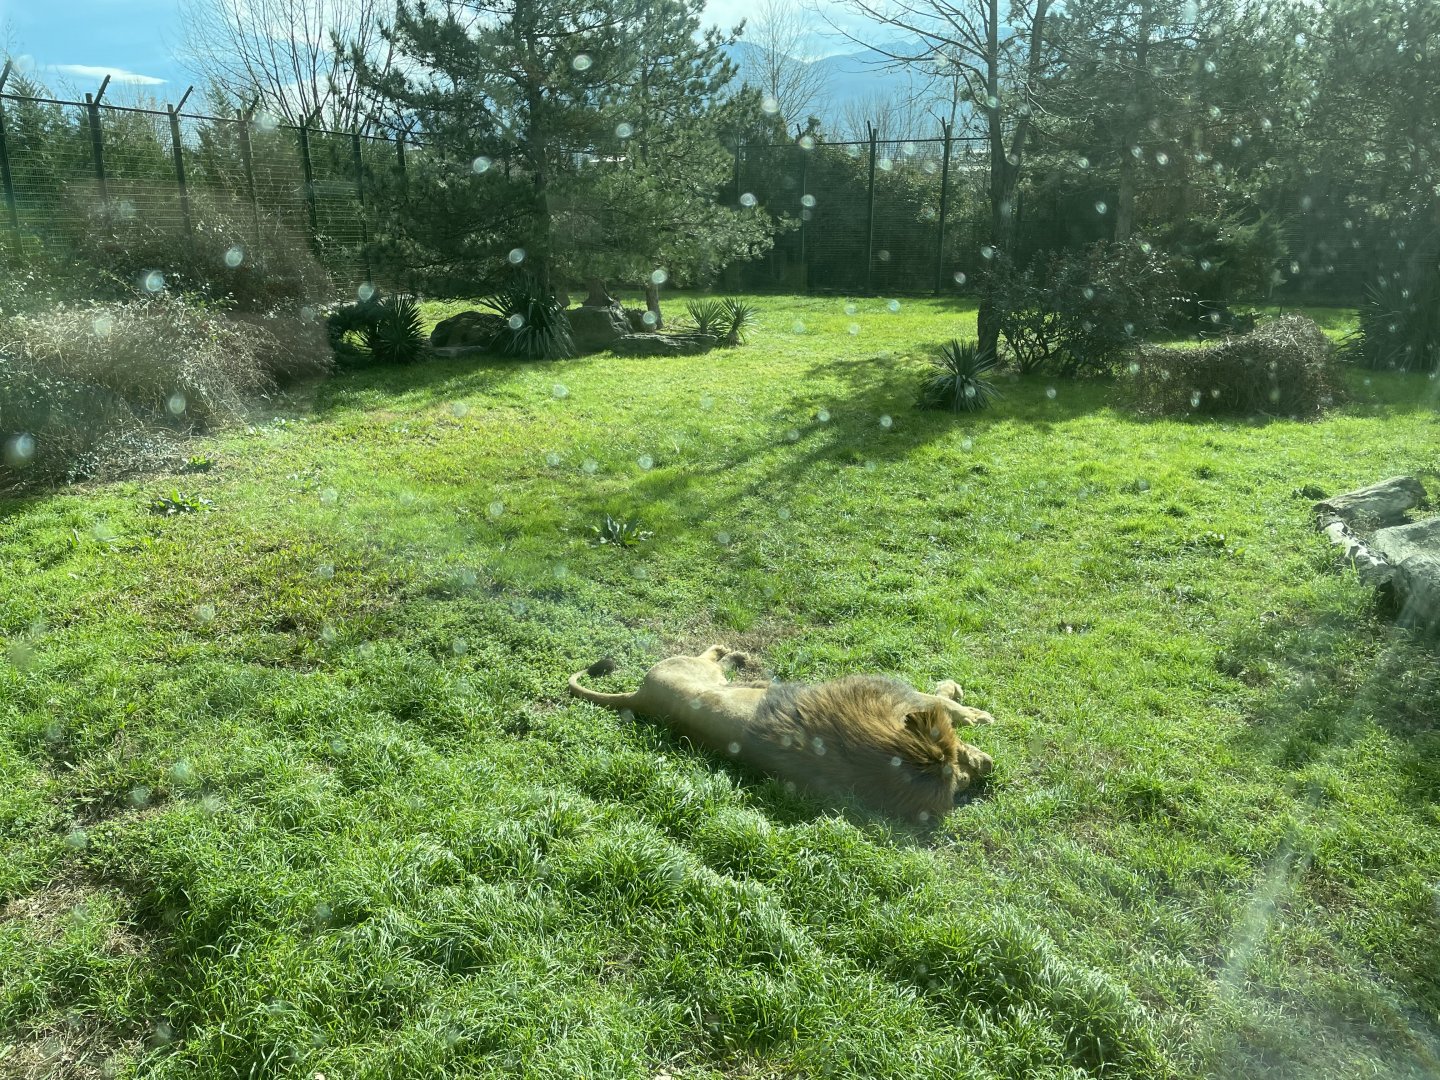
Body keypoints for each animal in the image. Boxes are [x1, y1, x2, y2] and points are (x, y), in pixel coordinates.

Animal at [568, 645, 995, 820]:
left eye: (960, 781)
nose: (984, 768)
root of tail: (640, 696)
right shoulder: (895, 694)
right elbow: (943, 703)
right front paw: (972, 710)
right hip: (696, 668)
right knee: (710, 656)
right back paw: (731, 652)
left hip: (709, 678)